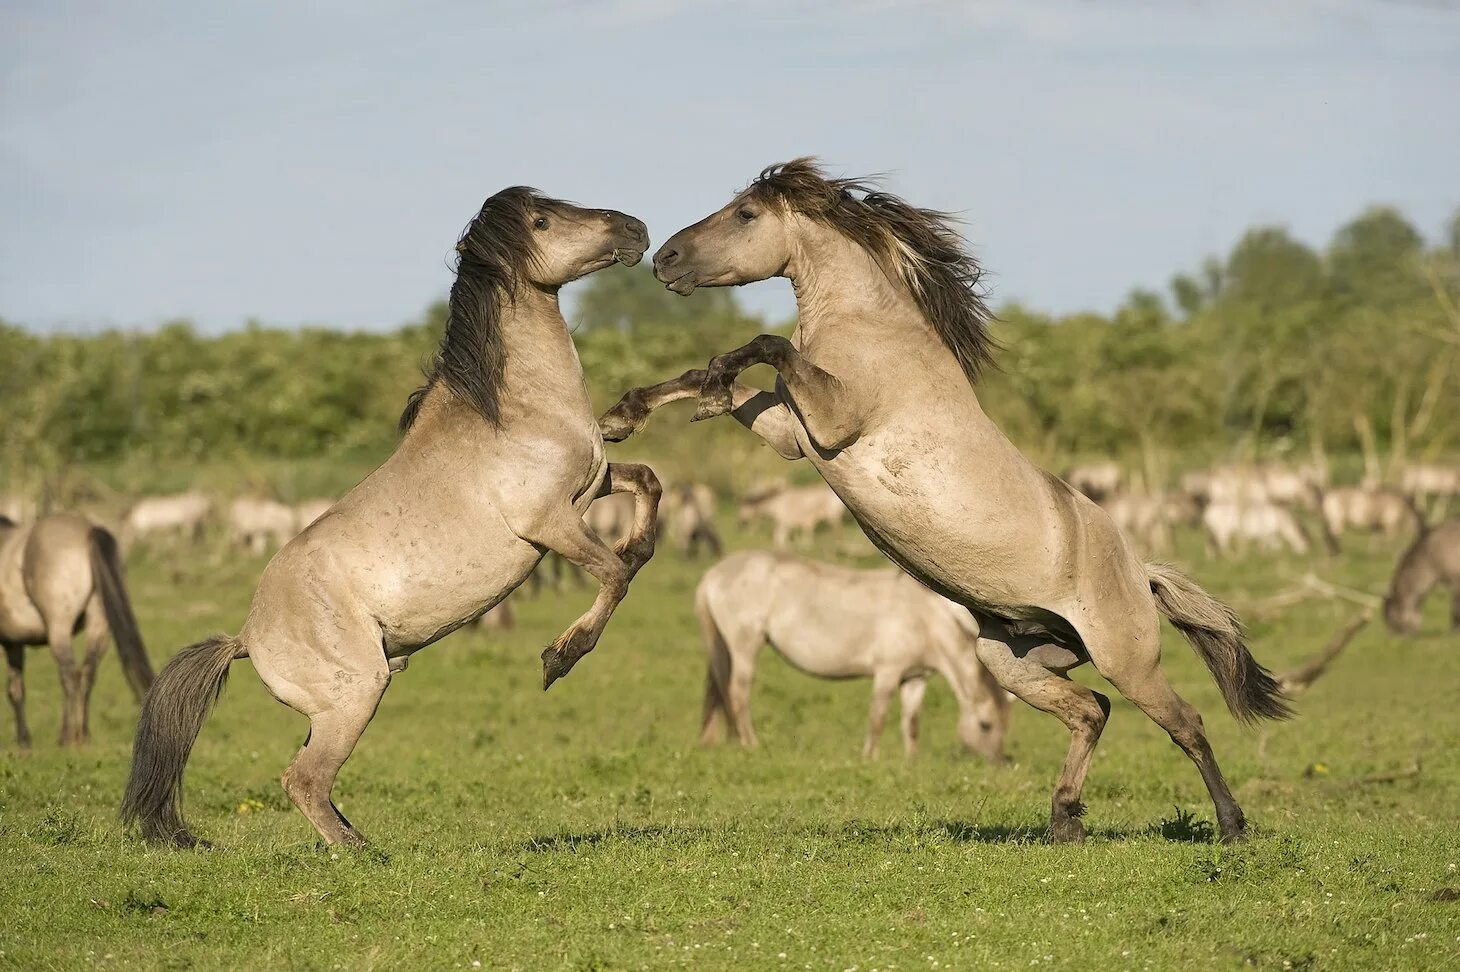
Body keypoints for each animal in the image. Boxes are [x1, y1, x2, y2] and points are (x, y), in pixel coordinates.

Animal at [0, 513, 154, 741]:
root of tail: (87, 530)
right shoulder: (13, 642)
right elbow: (16, 689)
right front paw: (23, 740)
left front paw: (23, 739)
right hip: (98, 625)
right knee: (87, 673)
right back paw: (83, 734)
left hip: (59, 629)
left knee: (69, 676)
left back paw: (67, 736)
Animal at [125, 185, 662, 846]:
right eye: (542, 219)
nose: (634, 228)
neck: (515, 410)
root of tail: (246, 637)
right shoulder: (548, 522)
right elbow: (613, 575)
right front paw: (559, 658)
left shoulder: (591, 487)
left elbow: (647, 486)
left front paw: (638, 546)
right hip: (357, 695)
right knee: (303, 779)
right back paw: (360, 854)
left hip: (336, 708)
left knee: (312, 777)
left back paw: (359, 840)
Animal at [598, 159, 1284, 840]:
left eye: (745, 214)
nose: (666, 257)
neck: (871, 330)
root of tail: (1142, 573)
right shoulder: (794, 435)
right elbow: (707, 376)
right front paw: (620, 417)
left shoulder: (831, 423)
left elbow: (766, 345)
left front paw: (705, 382)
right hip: (1011, 659)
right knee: (1092, 710)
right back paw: (1064, 821)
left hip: (1127, 659)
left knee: (1186, 724)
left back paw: (1230, 826)